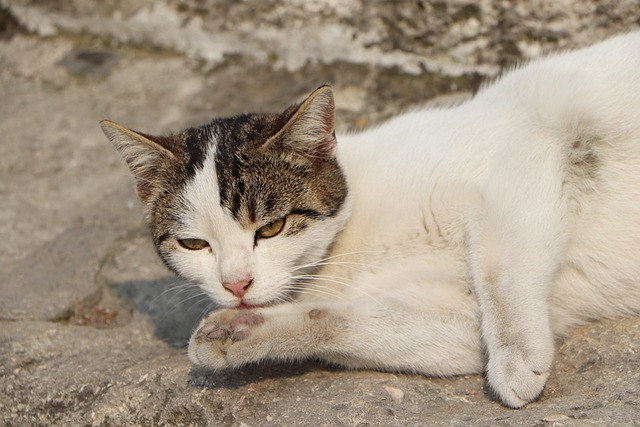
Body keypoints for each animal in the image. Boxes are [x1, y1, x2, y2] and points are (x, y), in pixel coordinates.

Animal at [99, 31, 640, 410]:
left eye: (270, 228)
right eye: (194, 245)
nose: (237, 285)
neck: (347, 249)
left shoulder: (521, 154)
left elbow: (499, 270)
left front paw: (516, 359)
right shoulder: (456, 322)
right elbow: (344, 324)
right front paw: (241, 333)